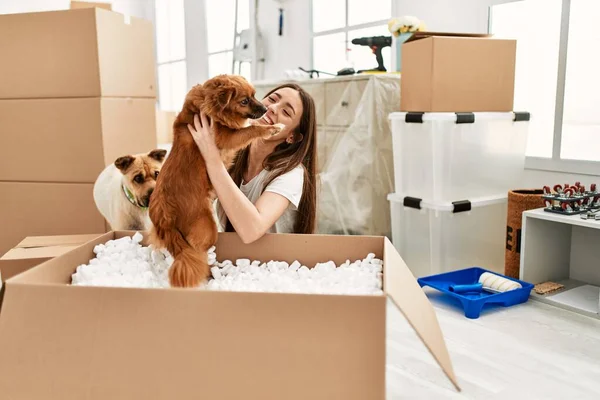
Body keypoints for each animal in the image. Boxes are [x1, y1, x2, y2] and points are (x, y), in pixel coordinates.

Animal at [149, 75, 282, 288]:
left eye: (254, 95)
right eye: (244, 101)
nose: (265, 109)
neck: (206, 105)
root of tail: (163, 215)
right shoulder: (226, 136)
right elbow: (252, 129)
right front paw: (272, 128)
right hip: (207, 229)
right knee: (198, 253)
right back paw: (211, 272)